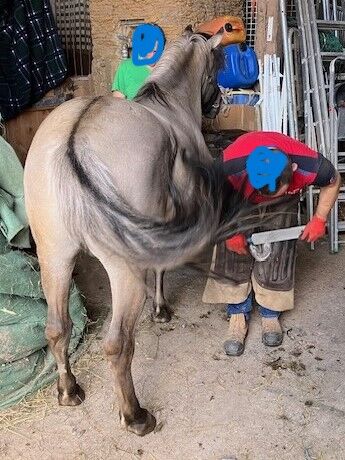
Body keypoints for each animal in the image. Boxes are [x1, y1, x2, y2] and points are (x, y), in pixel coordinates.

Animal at [22, 27, 242, 436]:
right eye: (216, 67)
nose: (218, 104)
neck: (170, 105)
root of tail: (72, 145)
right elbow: (162, 271)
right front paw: (161, 310)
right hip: (124, 272)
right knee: (118, 345)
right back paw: (135, 415)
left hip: (54, 258)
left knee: (58, 328)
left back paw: (68, 391)